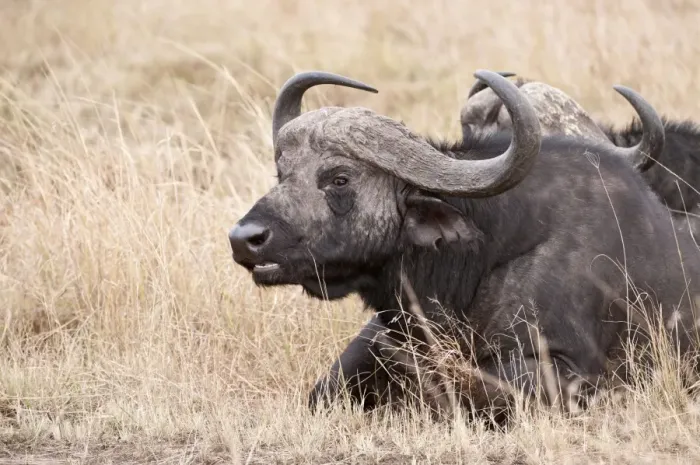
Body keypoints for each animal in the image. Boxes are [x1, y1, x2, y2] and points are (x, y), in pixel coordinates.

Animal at [229, 70, 700, 426]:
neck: (481, 259)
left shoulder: (569, 373)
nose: (244, 238)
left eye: (339, 178)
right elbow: (327, 389)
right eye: (282, 173)